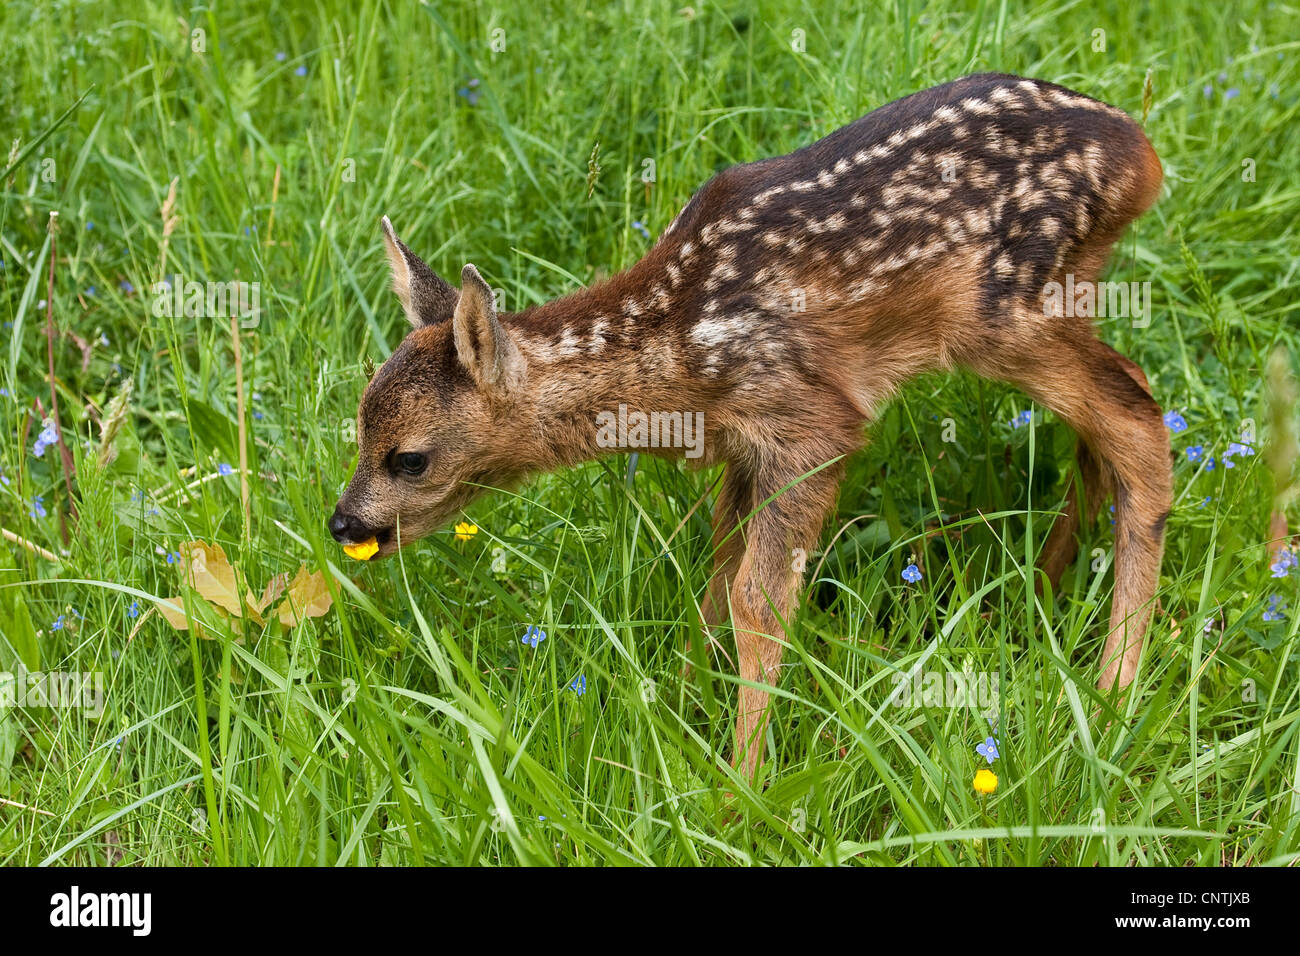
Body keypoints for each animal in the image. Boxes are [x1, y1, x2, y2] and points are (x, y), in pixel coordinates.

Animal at [330, 73, 1170, 779]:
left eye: (409, 458)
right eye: (360, 429)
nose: (343, 523)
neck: (673, 356)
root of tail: (1143, 154)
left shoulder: (807, 423)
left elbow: (756, 605)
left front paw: (741, 784)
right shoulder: (740, 444)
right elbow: (715, 573)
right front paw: (679, 701)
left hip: (1006, 311)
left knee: (1139, 417)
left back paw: (1113, 694)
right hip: (1064, 296)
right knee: (1103, 428)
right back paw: (1041, 595)